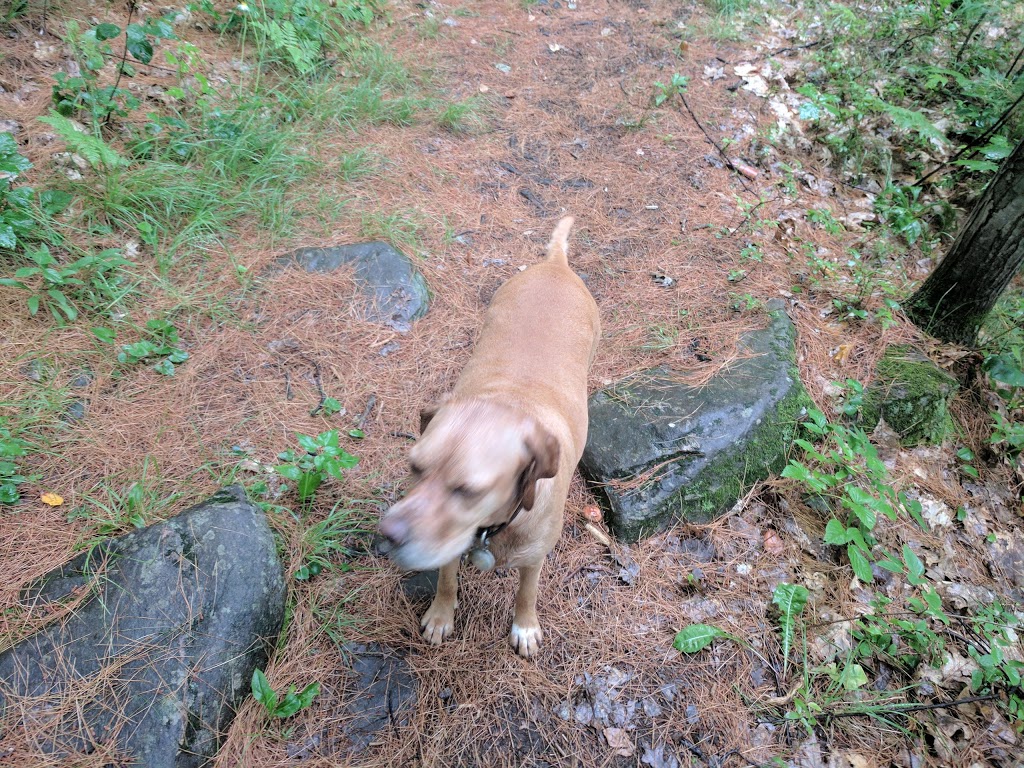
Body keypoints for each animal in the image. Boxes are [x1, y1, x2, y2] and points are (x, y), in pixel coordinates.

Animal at [378, 218, 598, 663]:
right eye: (414, 466)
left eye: (468, 490)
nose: (386, 535)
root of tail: (556, 264)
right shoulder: (451, 544)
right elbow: (447, 578)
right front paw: (442, 614)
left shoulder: (534, 556)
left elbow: (527, 592)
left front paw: (525, 626)